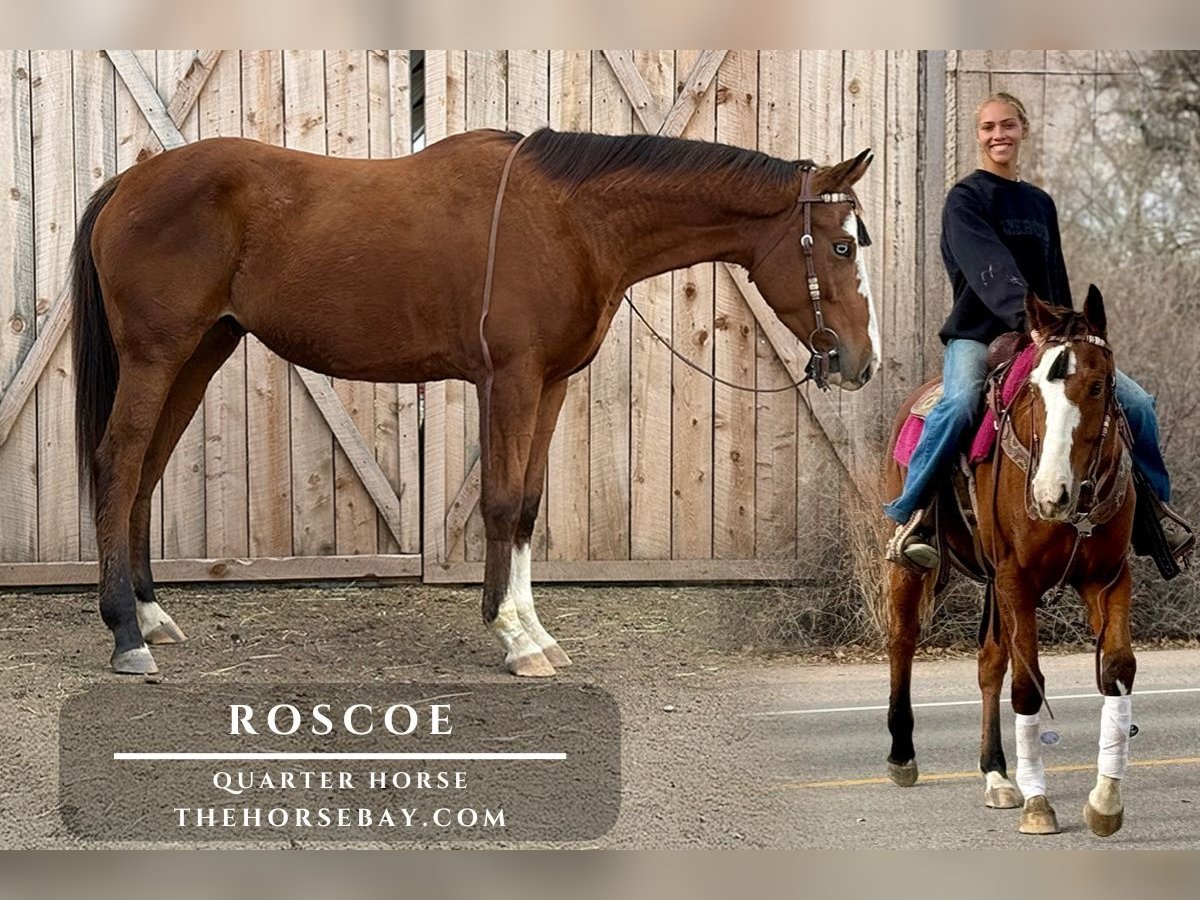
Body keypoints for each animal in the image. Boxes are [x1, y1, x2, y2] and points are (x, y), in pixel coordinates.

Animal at [70, 127, 879, 678]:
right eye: (840, 247)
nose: (859, 362)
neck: (568, 220)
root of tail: (129, 184)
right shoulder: (509, 381)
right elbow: (498, 501)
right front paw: (512, 636)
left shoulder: (551, 384)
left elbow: (526, 506)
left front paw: (535, 631)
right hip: (157, 357)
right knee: (119, 464)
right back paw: (126, 634)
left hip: (199, 355)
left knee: (145, 473)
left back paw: (152, 615)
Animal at [883, 288, 1137, 837]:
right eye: (1034, 390)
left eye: (1098, 385)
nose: (1049, 494)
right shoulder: (1017, 578)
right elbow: (1027, 685)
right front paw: (1039, 805)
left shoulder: (1106, 577)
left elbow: (1117, 669)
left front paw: (1105, 801)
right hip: (913, 566)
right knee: (903, 642)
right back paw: (902, 755)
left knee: (989, 663)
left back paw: (997, 774)